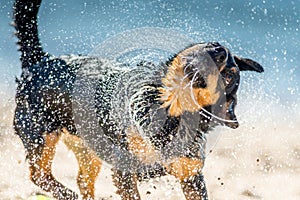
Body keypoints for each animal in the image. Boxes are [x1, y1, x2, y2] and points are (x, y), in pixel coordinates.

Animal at [12, 0, 264, 200]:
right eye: (212, 46)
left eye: (228, 76)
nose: (219, 49)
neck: (170, 112)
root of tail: (41, 60)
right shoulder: (124, 170)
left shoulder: (190, 174)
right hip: (40, 134)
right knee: (39, 175)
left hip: (87, 147)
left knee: (80, 179)